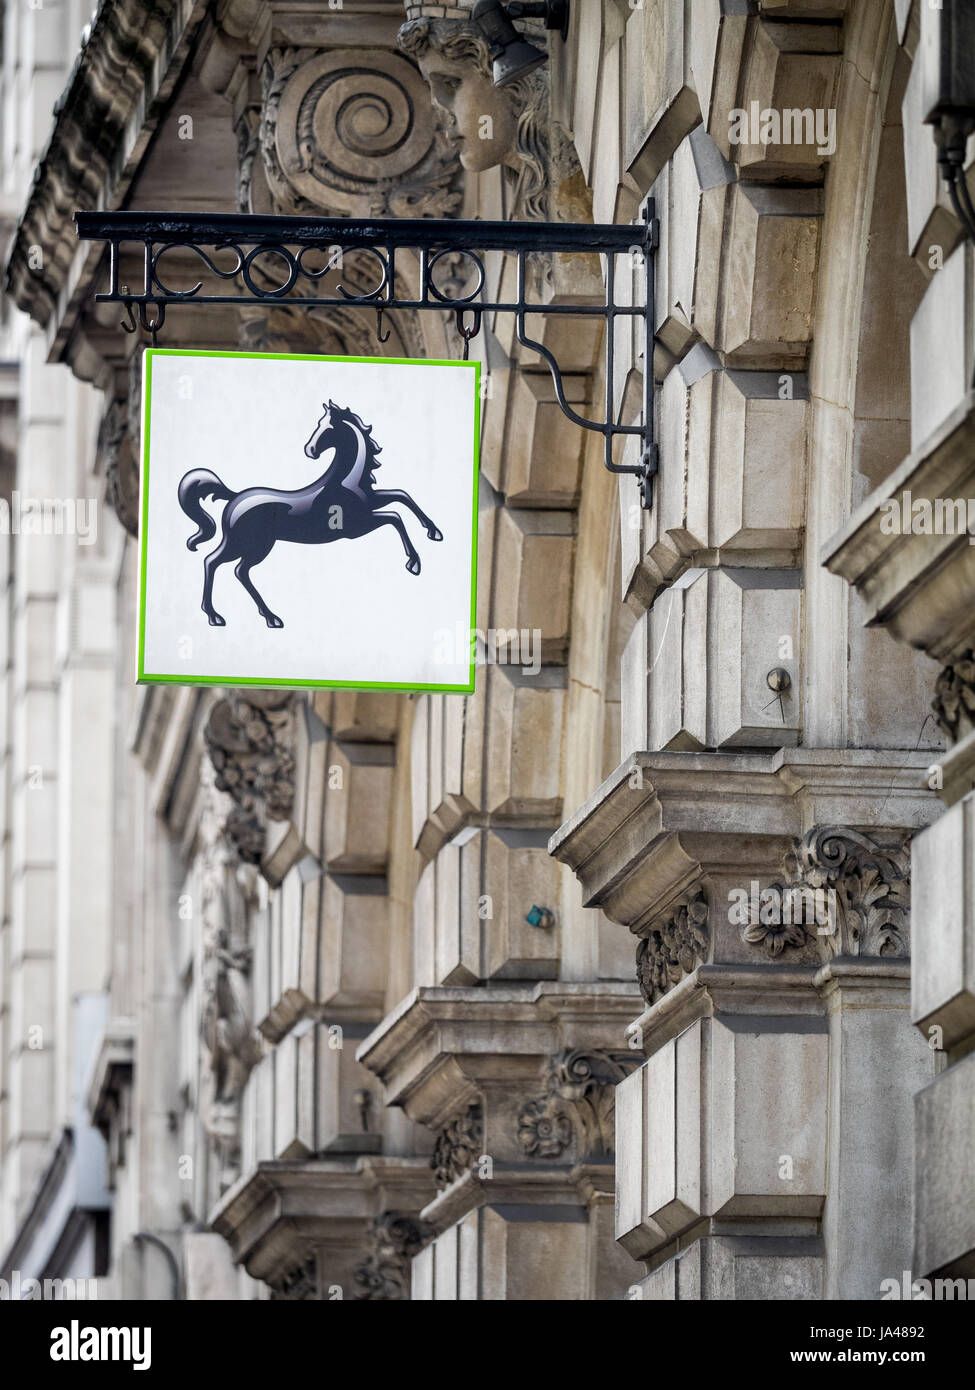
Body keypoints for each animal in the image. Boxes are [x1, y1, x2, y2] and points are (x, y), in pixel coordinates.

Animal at [176, 403, 442, 631]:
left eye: (328, 427)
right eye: (319, 424)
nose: (310, 450)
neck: (345, 481)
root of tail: (233, 498)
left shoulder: (371, 503)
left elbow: (401, 496)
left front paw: (434, 532)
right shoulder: (356, 527)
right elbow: (395, 517)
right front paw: (414, 563)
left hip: (249, 545)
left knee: (232, 569)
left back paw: (258, 617)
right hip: (249, 544)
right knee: (218, 563)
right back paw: (229, 617)